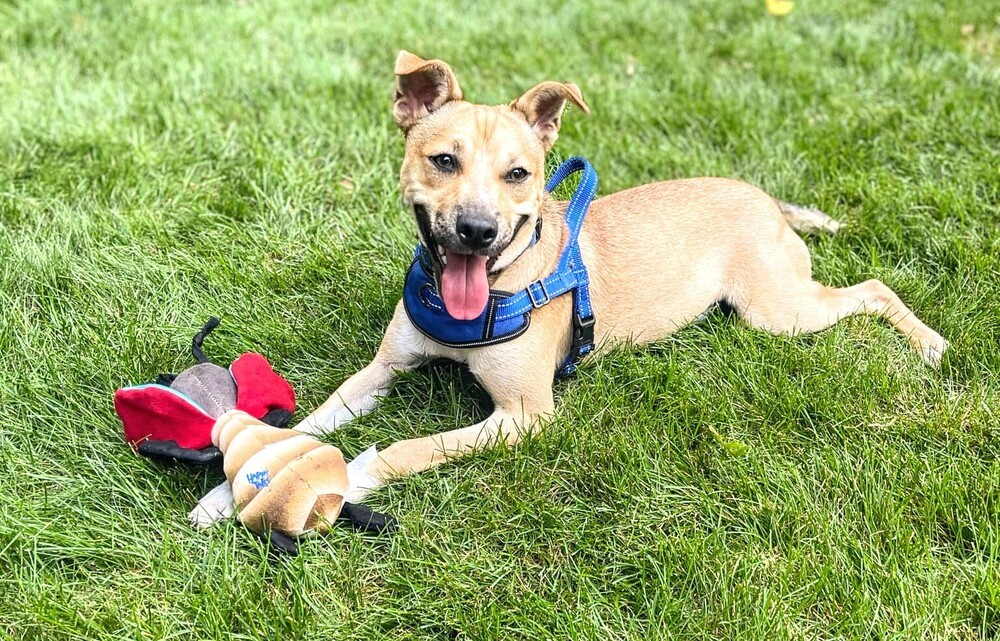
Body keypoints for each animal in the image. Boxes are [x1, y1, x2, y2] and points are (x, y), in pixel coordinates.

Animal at [189, 51, 944, 524]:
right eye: (443, 161)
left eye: (519, 174)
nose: (477, 231)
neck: (488, 294)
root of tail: (763, 197)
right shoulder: (379, 371)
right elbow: (304, 426)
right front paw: (233, 489)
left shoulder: (524, 414)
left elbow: (405, 449)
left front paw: (349, 473)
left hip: (777, 310)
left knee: (874, 287)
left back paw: (929, 342)